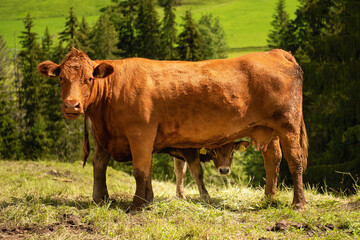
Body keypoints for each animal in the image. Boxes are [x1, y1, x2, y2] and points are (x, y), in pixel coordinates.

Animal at [37, 47, 310, 211]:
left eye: (89, 79)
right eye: (61, 79)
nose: (72, 105)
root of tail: (275, 52)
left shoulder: (141, 132)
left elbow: (140, 170)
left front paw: (137, 205)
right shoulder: (105, 136)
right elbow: (99, 166)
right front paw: (101, 199)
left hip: (287, 124)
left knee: (294, 160)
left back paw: (298, 203)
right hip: (267, 129)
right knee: (273, 159)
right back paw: (268, 198)